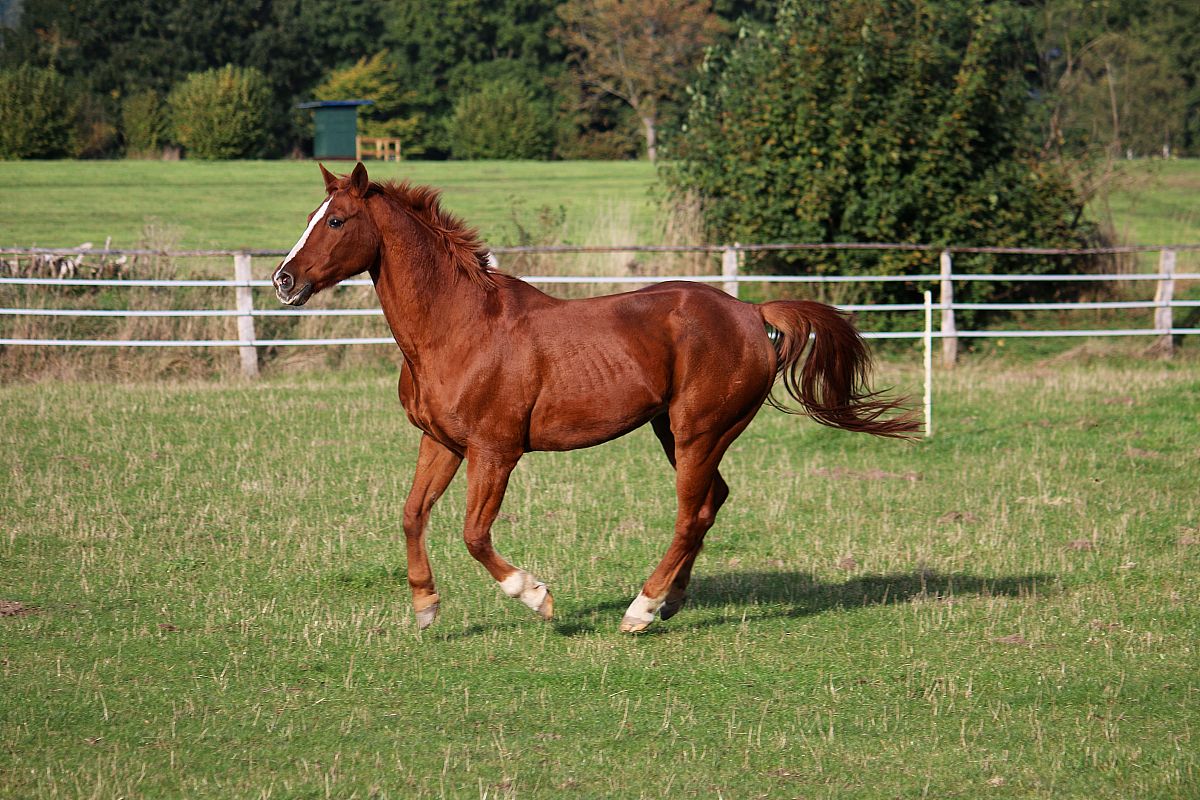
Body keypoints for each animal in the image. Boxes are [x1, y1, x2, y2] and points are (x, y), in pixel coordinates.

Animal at [273, 162, 919, 633]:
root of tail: (753, 312)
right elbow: (411, 515)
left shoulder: (495, 451)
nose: (283, 280)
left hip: (699, 431)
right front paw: (426, 608)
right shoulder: (443, 442)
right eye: (310, 216)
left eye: (337, 222)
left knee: (690, 513)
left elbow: (475, 533)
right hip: (676, 432)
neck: (458, 327)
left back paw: (641, 610)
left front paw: (536, 596)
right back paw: (671, 602)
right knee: (712, 503)